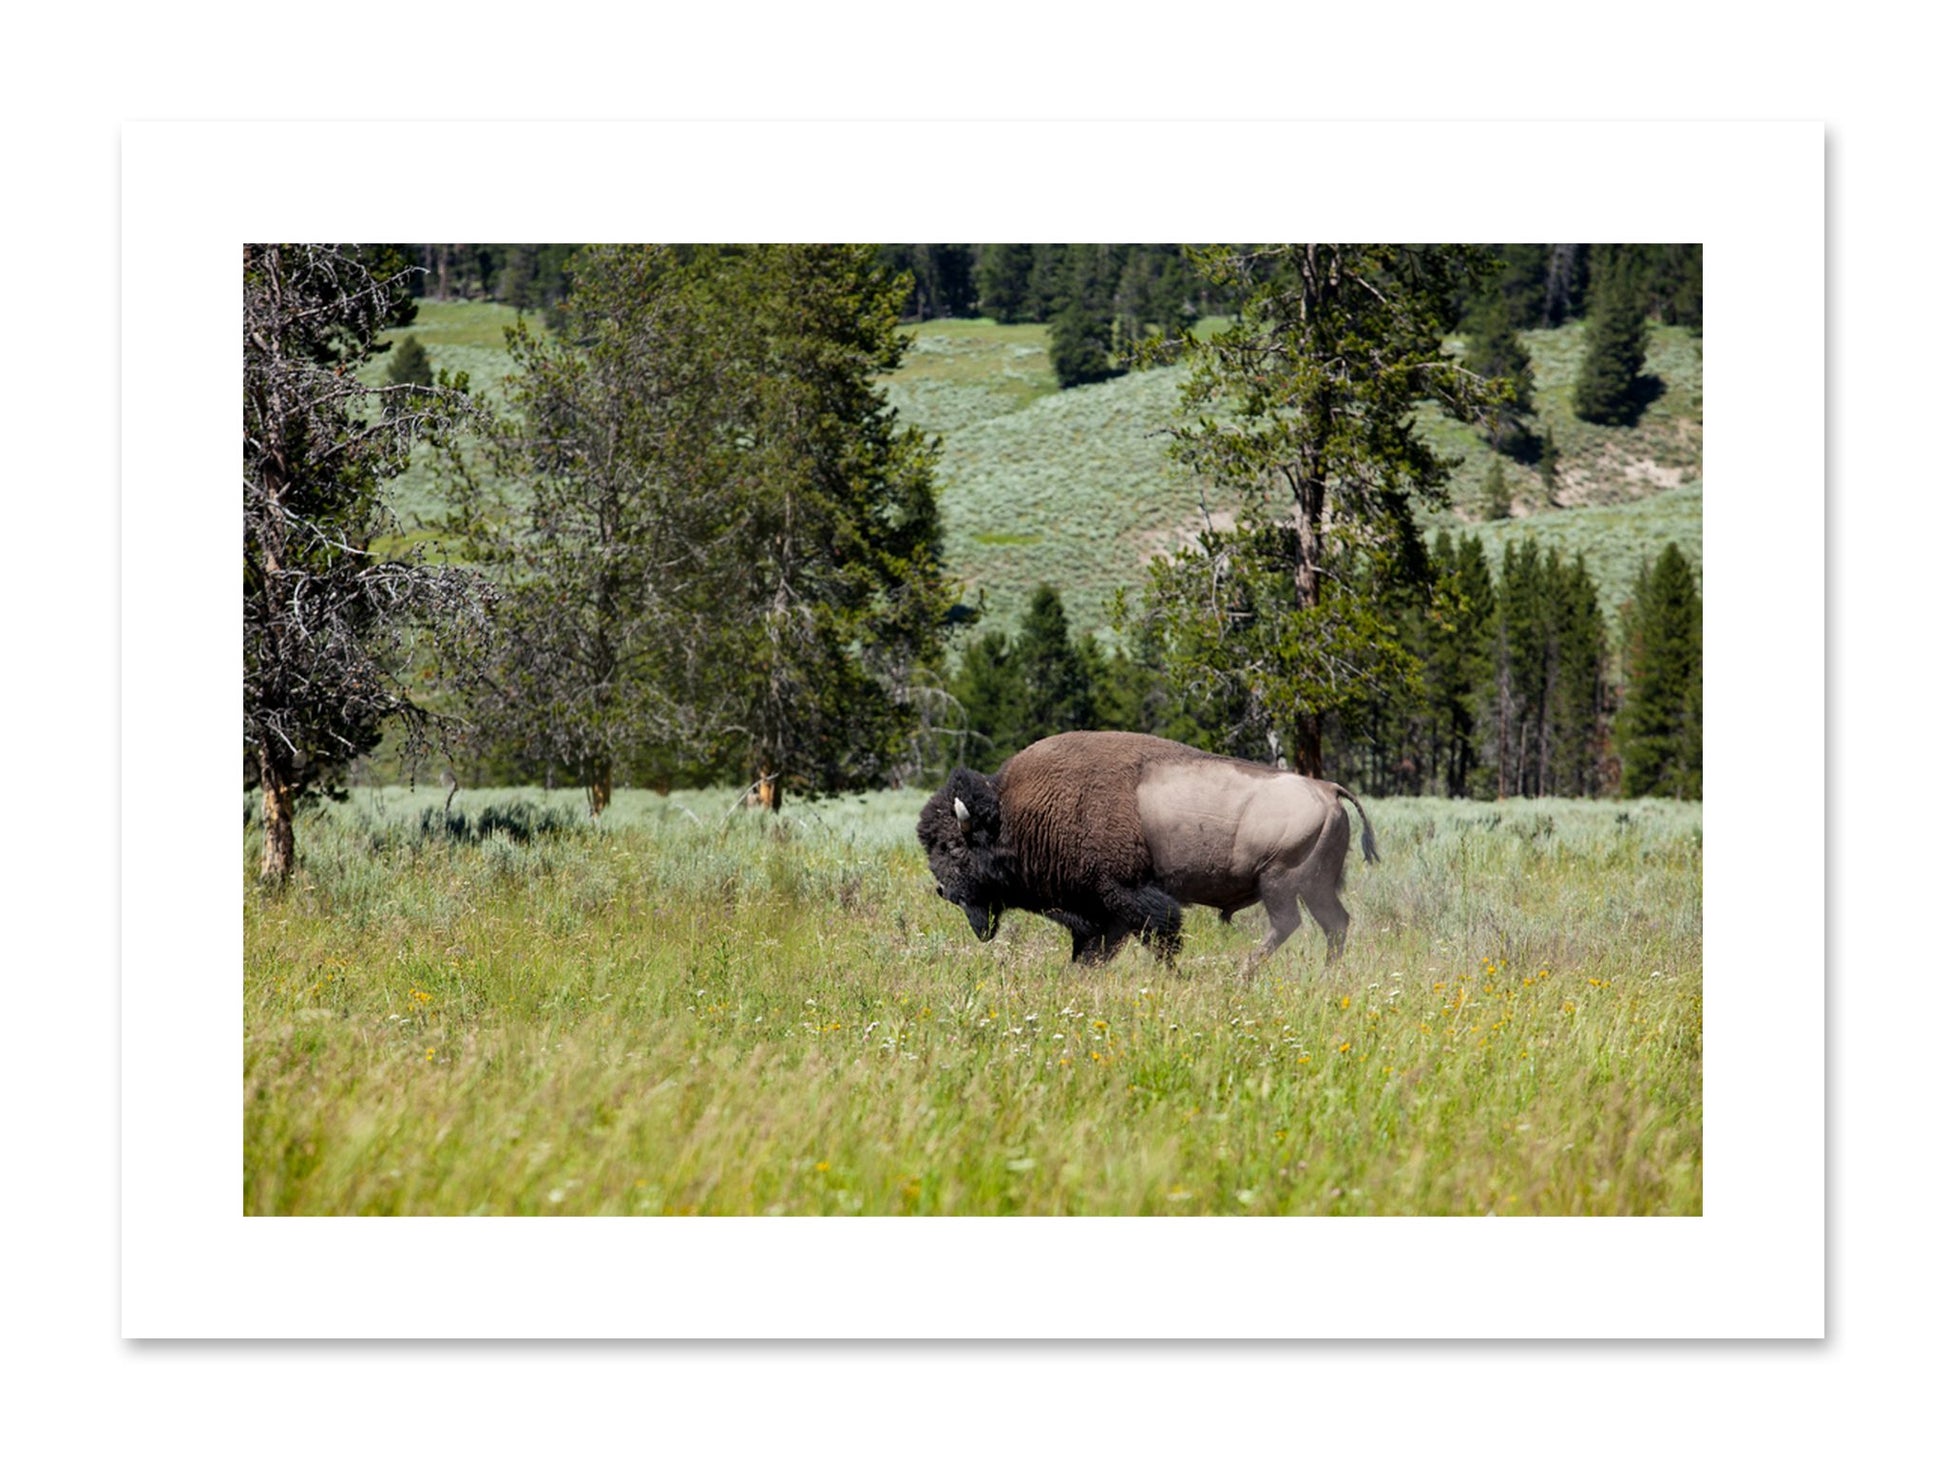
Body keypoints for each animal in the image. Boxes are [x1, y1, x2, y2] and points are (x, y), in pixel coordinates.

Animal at [917, 730, 1378, 970]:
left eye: (954, 848)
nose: (943, 891)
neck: (1014, 814)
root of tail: (1327, 788)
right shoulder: (1101, 912)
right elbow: (1094, 950)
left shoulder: (1126, 895)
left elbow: (1160, 937)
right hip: (1315, 887)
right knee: (1335, 924)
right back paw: (1325, 974)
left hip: (1279, 882)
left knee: (1288, 924)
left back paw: (1242, 974)